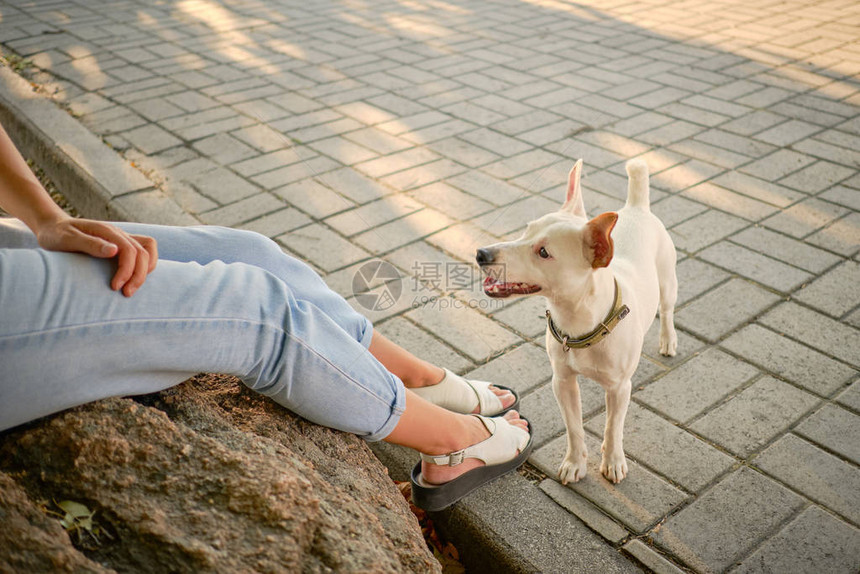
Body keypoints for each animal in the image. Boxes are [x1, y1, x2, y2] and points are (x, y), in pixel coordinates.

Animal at [480, 159, 676, 486]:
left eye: (543, 252)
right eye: (526, 231)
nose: (481, 253)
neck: (578, 322)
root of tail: (636, 207)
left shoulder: (620, 388)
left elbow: (613, 427)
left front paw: (613, 460)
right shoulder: (562, 382)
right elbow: (574, 427)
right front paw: (575, 463)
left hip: (667, 281)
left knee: (668, 309)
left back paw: (668, 340)